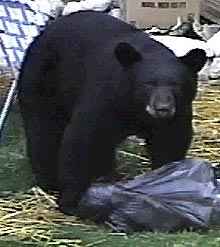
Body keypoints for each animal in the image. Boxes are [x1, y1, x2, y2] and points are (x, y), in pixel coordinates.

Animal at [18, 10, 207, 214]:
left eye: (176, 85)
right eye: (148, 84)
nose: (162, 108)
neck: (136, 107)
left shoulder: (178, 112)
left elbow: (170, 141)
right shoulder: (106, 98)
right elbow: (84, 139)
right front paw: (70, 200)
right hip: (42, 80)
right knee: (44, 130)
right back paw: (49, 181)